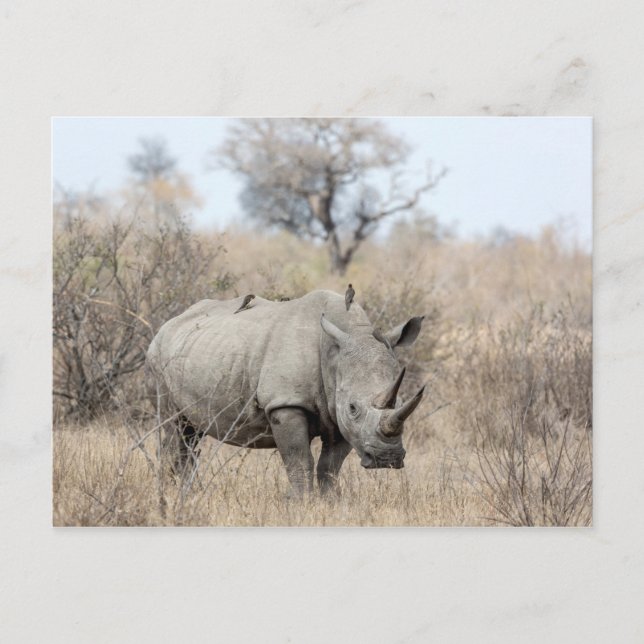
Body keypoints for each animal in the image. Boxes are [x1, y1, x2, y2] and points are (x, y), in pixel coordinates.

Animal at [146, 289, 426, 495]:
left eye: (401, 400)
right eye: (353, 408)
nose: (386, 459)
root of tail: (168, 324)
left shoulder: (338, 413)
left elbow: (330, 468)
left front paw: (331, 504)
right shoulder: (285, 403)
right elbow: (299, 462)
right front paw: (304, 504)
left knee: (191, 434)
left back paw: (186, 495)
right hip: (158, 358)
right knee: (175, 428)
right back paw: (172, 496)